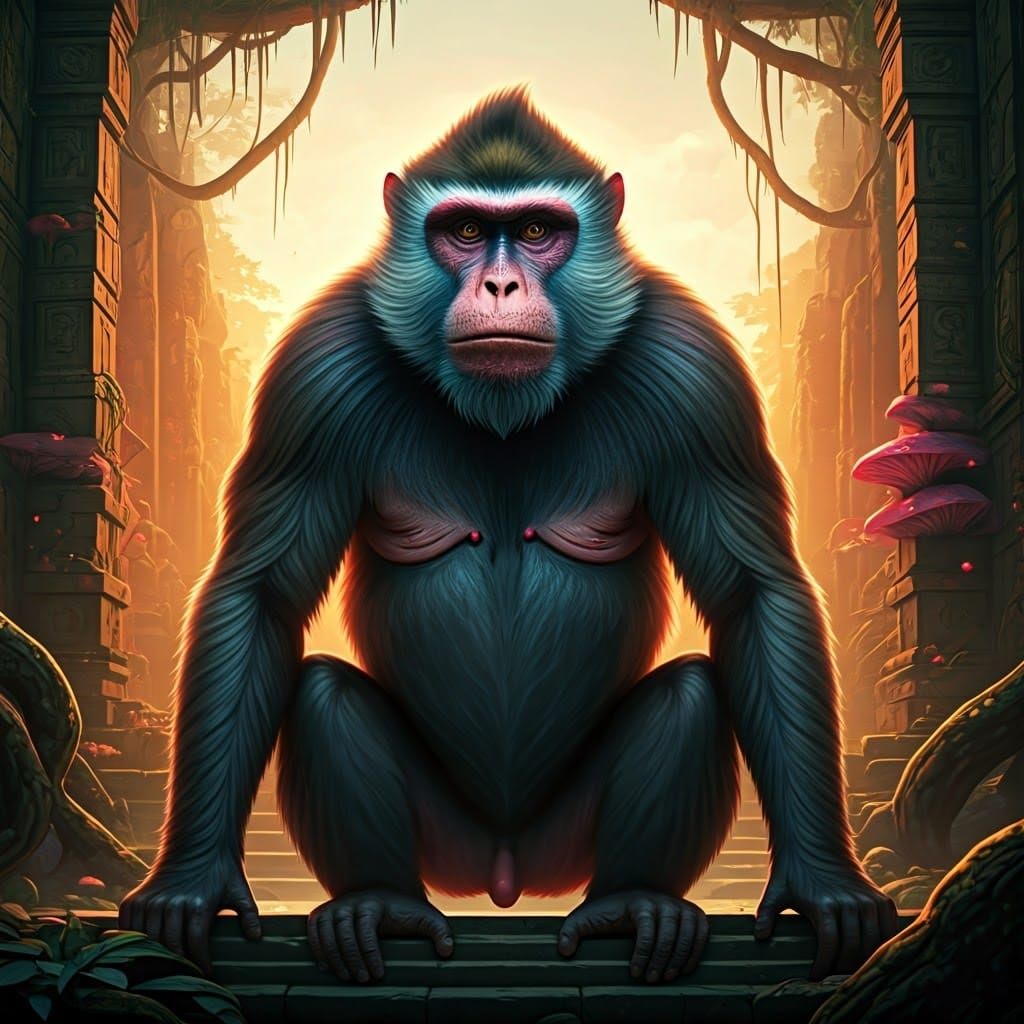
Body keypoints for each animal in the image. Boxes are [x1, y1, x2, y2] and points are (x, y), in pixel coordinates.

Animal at [120, 88, 899, 986]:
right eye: (463, 229)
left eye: (534, 230)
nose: (499, 282)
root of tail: (505, 876)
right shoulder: (315, 371)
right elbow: (261, 593)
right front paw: (192, 878)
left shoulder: (695, 370)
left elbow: (752, 592)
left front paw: (822, 878)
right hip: (450, 846)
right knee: (319, 691)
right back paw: (376, 903)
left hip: (563, 843)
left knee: (695, 692)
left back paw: (636, 902)